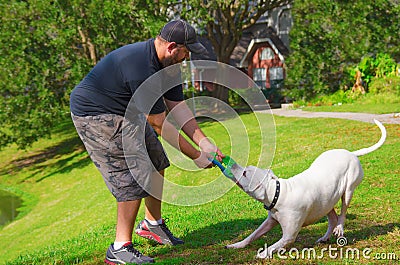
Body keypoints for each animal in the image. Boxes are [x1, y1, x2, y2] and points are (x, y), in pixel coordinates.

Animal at [225, 118, 384, 256]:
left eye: (245, 173)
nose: (230, 162)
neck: (278, 193)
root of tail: (350, 153)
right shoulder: (269, 222)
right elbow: (252, 235)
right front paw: (236, 245)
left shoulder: (289, 236)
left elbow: (274, 246)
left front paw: (262, 254)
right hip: (326, 200)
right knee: (332, 218)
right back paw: (325, 237)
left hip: (349, 190)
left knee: (343, 212)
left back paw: (340, 227)